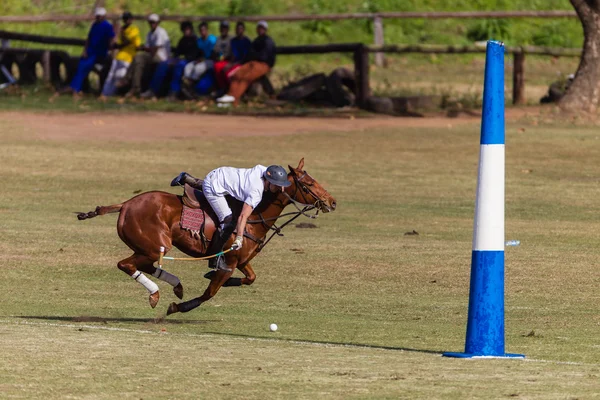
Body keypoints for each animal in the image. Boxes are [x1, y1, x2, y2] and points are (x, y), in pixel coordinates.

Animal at [77, 159, 336, 316]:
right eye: (308, 184)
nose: (332, 202)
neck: (256, 215)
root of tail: (125, 204)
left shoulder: (241, 261)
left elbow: (251, 278)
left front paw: (209, 276)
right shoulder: (229, 262)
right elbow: (209, 293)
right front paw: (177, 308)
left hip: (148, 247)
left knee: (144, 265)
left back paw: (176, 285)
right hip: (156, 245)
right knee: (126, 264)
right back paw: (156, 294)